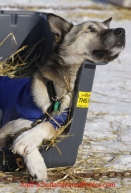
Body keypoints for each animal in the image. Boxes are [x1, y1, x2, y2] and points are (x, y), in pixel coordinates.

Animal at [0, 13, 125, 181]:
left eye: (106, 28)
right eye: (91, 29)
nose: (122, 31)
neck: (55, 91)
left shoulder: (60, 124)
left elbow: (47, 125)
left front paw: (28, 140)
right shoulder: (8, 125)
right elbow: (26, 125)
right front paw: (35, 161)